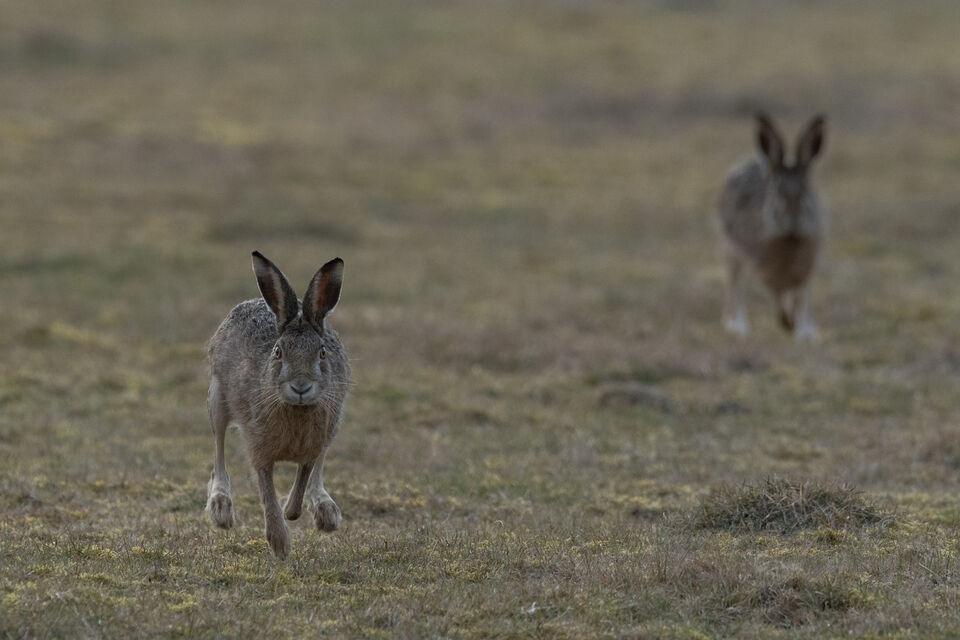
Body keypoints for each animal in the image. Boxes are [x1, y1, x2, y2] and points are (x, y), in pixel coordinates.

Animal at [205, 251, 350, 559]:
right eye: (278, 352)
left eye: (322, 353)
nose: (300, 387)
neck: (296, 410)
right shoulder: (258, 447)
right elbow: (266, 491)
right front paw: (280, 543)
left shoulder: (313, 445)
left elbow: (301, 486)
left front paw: (289, 511)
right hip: (217, 400)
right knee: (219, 448)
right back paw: (221, 506)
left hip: (334, 423)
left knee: (319, 471)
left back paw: (325, 509)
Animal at [716, 112, 827, 341]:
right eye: (777, 193)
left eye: (805, 193)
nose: (793, 220)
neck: (790, 240)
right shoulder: (766, 271)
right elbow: (777, 298)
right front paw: (787, 322)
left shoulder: (805, 270)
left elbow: (801, 298)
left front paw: (804, 332)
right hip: (732, 250)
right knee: (735, 286)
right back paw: (737, 326)